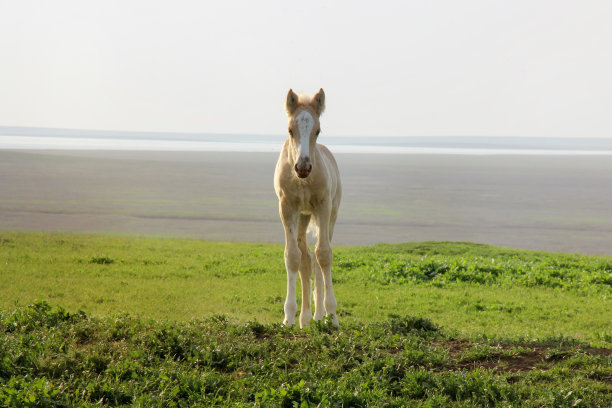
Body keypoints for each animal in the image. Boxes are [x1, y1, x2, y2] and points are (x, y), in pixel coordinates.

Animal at [274, 89, 342, 328]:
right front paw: (288, 318)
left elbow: (324, 254)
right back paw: (304, 319)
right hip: (302, 217)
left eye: (318, 130)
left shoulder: (323, 206)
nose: (302, 167)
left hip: (330, 216)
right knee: (305, 259)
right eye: (290, 130)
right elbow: (292, 256)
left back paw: (319, 315)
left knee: (317, 257)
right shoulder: (287, 208)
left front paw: (332, 315)